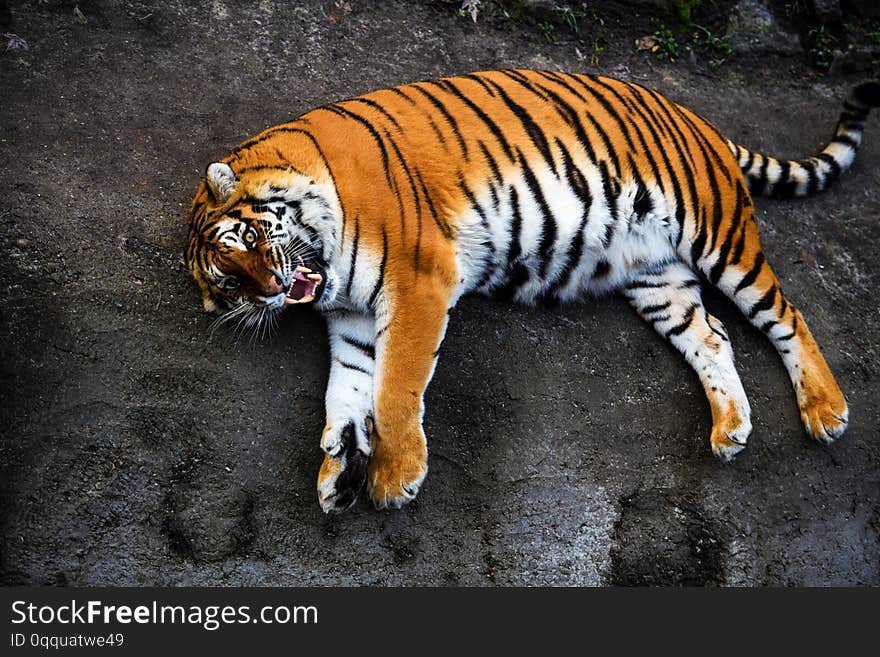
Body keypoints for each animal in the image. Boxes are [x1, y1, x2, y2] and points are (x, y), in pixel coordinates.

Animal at [182, 70, 876, 512]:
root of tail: (698, 119)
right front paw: (338, 473)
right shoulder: (352, 322)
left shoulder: (419, 281)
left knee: (787, 315)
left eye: (248, 236)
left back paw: (826, 411)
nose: (272, 288)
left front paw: (395, 477)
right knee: (711, 337)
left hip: (719, 235)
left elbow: (394, 387)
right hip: (656, 277)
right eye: (230, 285)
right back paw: (731, 429)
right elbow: (347, 391)